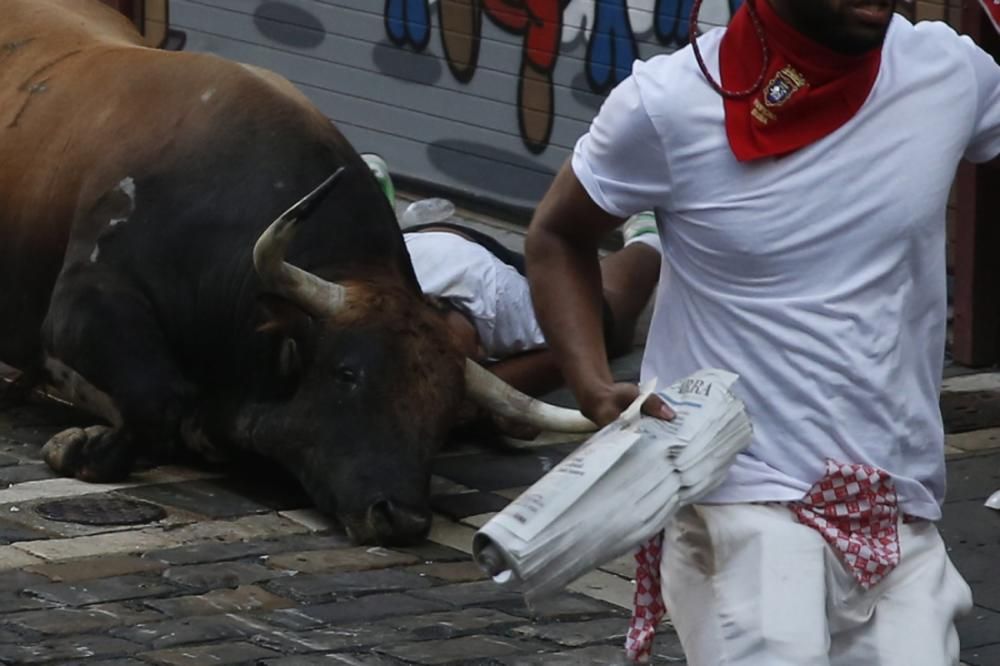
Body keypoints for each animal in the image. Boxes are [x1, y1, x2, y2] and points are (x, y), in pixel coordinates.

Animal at [0, 1, 592, 544]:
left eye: (447, 409)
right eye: (347, 373)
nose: (402, 518)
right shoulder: (84, 305)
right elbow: (157, 398)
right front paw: (80, 447)